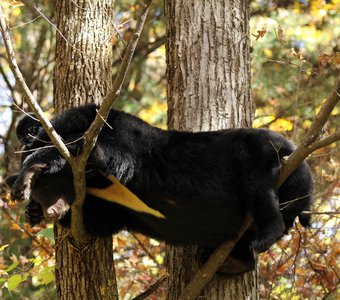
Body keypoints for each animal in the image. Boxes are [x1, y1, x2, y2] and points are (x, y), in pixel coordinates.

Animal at [7, 105, 314, 255]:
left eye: (47, 186)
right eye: (42, 195)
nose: (51, 210)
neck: (97, 184)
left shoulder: (119, 137)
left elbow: (84, 147)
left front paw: (25, 178)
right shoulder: (110, 206)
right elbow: (98, 222)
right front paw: (32, 212)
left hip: (259, 154)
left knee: (259, 187)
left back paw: (265, 235)